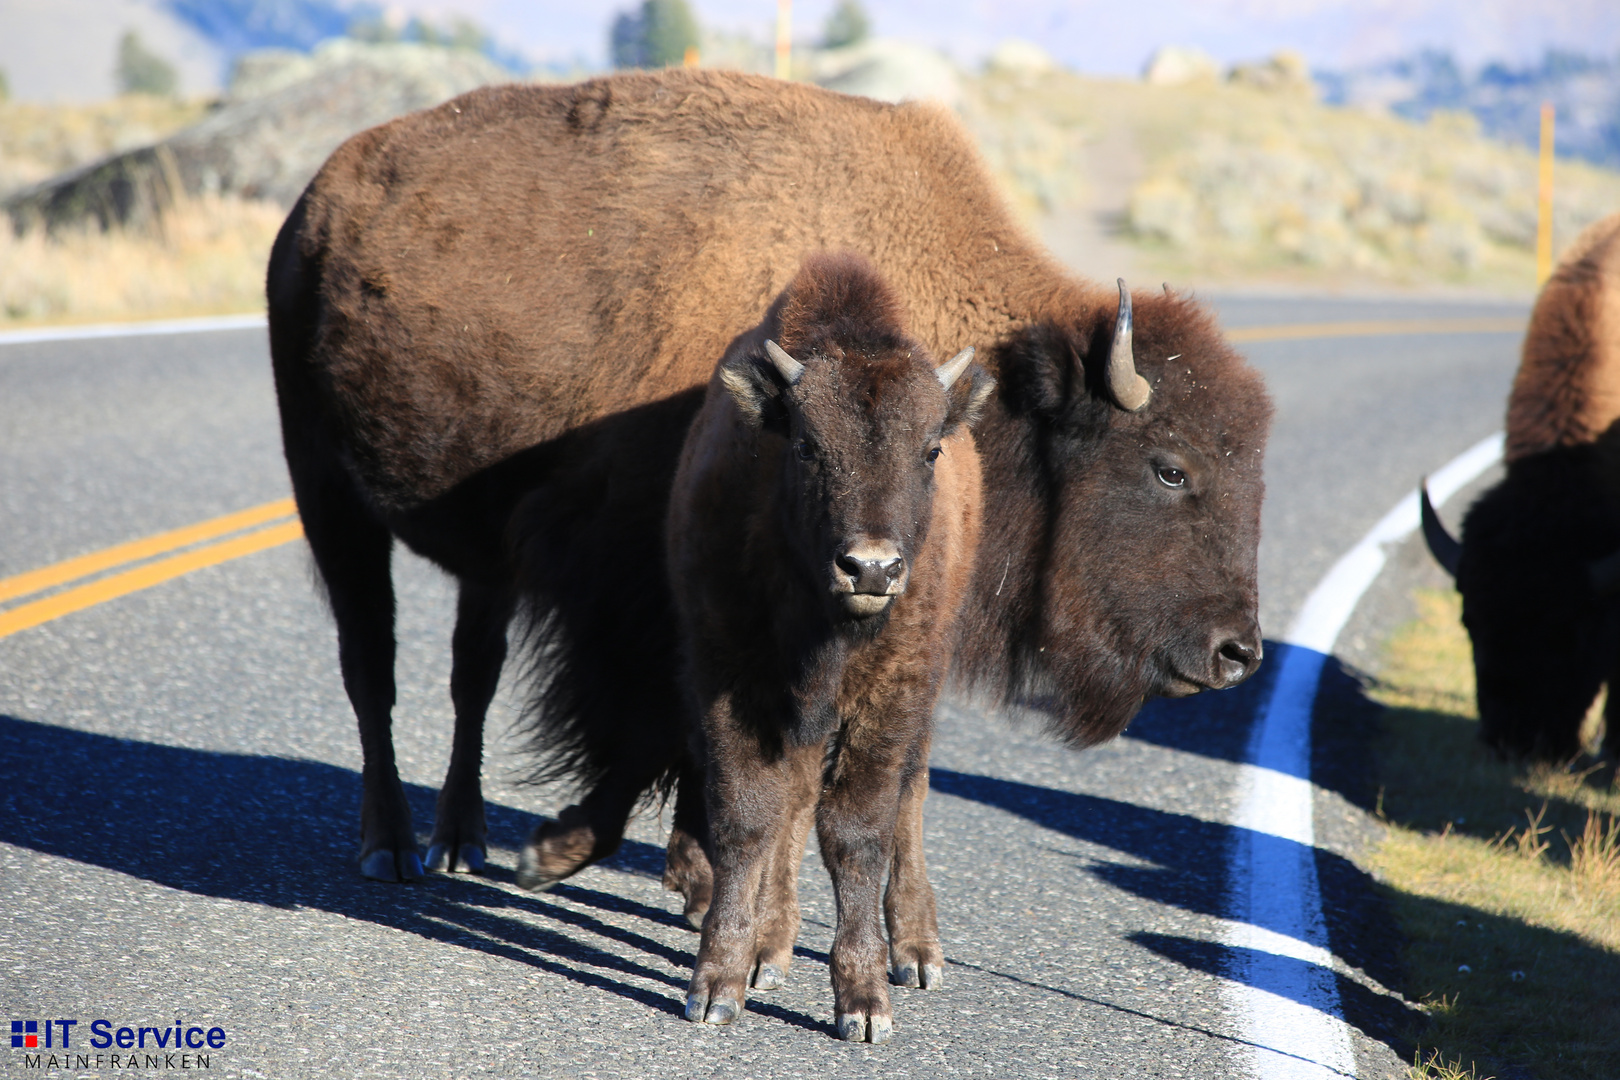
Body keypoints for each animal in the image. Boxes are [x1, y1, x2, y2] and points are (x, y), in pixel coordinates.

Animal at [265, 69, 1270, 893]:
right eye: (1170, 467)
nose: (1238, 653)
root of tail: (313, 208)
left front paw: (690, 877)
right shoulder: (642, 587)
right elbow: (653, 724)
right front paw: (572, 854)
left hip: (481, 561)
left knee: (469, 674)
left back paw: (458, 839)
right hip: (330, 502)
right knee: (370, 666)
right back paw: (392, 848)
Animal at [664, 250, 991, 1036]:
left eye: (931, 449)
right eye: (809, 446)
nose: (871, 567)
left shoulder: (892, 694)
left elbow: (858, 831)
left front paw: (864, 1003)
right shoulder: (730, 678)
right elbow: (750, 818)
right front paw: (718, 985)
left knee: (910, 793)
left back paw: (916, 950)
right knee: (795, 801)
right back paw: (771, 944)